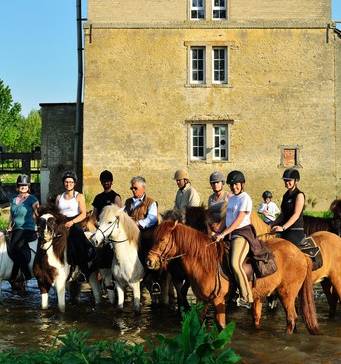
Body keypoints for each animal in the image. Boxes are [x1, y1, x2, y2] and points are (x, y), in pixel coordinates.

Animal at [146, 220, 318, 334]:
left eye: (162, 240)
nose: (149, 261)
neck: (204, 261)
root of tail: (301, 254)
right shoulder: (203, 300)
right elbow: (198, 321)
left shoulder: (218, 300)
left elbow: (221, 326)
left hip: (286, 294)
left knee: (291, 319)